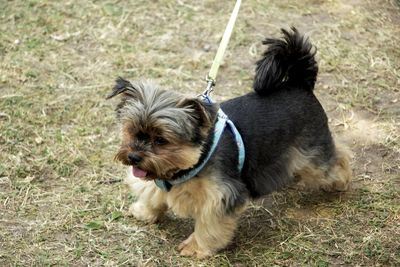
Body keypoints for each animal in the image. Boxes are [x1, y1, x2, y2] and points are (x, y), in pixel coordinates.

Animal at [108, 27, 352, 260]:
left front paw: (196, 247)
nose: (133, 157)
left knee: (337, 158)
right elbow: (152, 194)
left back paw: (340, 182)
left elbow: (209, 225)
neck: (198, 153)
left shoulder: (220, 196)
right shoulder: (159, 177)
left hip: (312, 154)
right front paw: (144, 212)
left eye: (161, 140)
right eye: (131, 132)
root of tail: (300, 84)